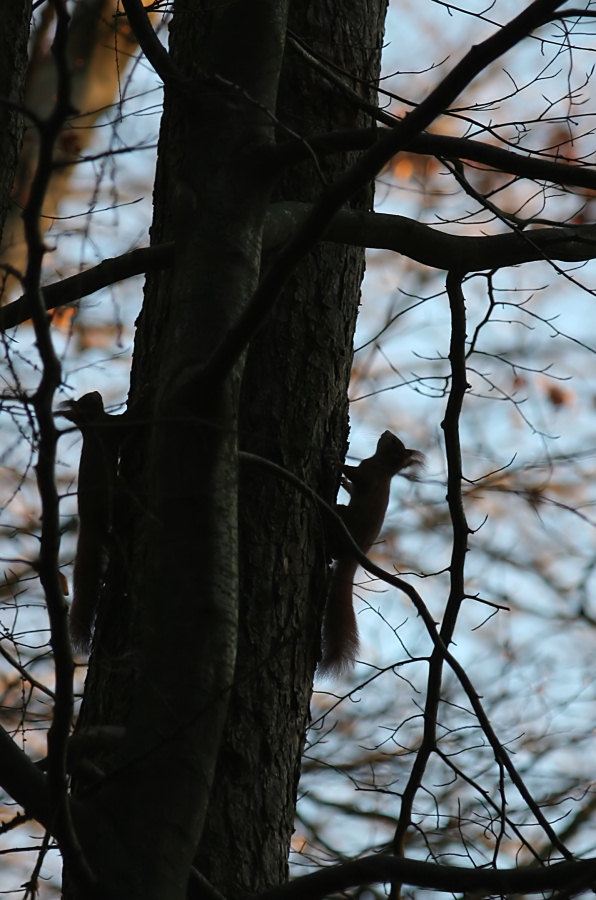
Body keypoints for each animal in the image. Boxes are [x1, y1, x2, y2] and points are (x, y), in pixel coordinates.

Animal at [318, 430, 422, 676]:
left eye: (393, 441)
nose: (386, 432)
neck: (382, 466)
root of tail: (354, 554)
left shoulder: (368, 474)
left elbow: (356, 476)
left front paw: (337, 461)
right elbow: (352, 486)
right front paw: (343, 481)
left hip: (344, 523)